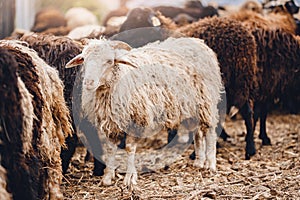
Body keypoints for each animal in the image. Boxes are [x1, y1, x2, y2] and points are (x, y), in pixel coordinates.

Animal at [66, 37, 225, 189]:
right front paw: (107, 177)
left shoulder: (137, 119)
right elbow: (110, 149)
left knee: (210, 132)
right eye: (84, 59)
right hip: (192, 107)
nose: (88, 82)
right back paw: (199, 162)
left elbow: (130, 148)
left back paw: (210, 164)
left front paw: (130, 178)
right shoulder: (111, 123)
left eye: (109, 61)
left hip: (206, 100)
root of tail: (198, 43)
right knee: (198, 133)